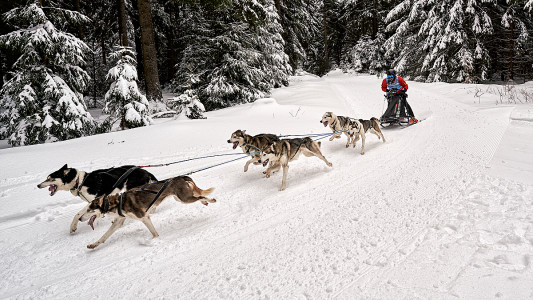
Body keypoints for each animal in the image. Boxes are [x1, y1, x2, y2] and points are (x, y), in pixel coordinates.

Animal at [78, 176, 214, 248]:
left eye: (89, 210)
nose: (79, 219)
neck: (117, 202)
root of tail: (179, 177)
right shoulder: (118, 222)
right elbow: (104, 236)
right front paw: (94, 244)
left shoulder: (144, 217)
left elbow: (154, 233)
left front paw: (154, 241)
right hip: (181, 198)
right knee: (199, 196)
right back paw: (205, 202)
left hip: (184, 199)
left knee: (201, 196)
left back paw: (211, 200)